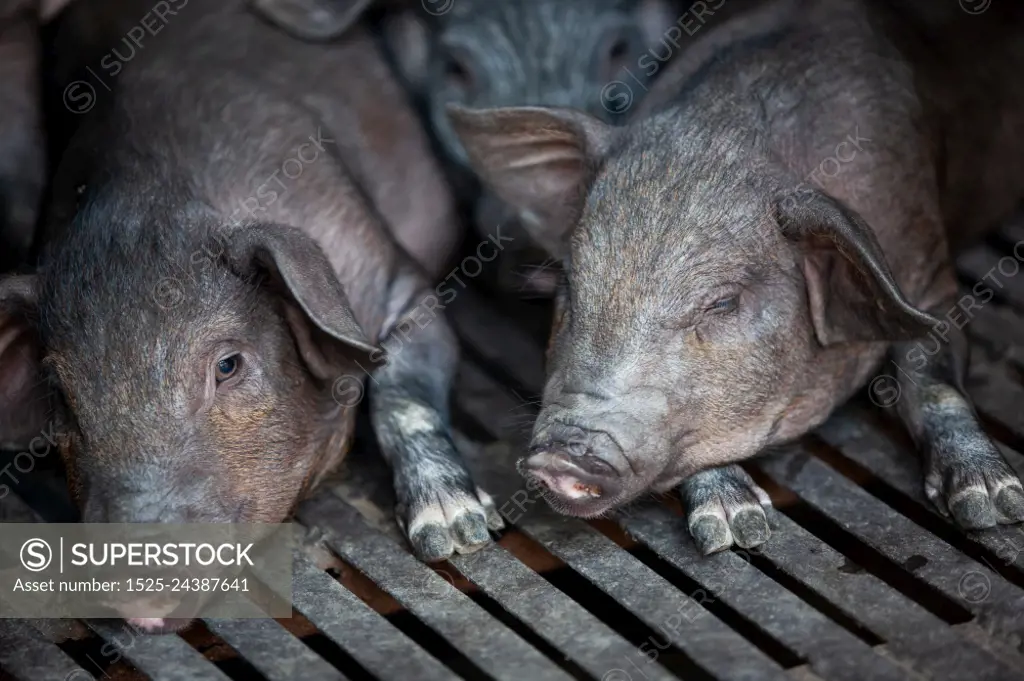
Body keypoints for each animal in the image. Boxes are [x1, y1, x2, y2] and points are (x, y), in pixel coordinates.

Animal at [0, 0, 499, 626]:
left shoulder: (398, 280)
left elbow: (403, 391)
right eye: (62, 397)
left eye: (228, 365)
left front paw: (456, 531)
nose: (135, 592)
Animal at [452, 0, 1024, 552]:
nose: (558, 457)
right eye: (571, 285)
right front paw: (735, 525)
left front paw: (992, 505)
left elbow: (933, 381)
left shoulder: (929, 271)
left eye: (723, 303)